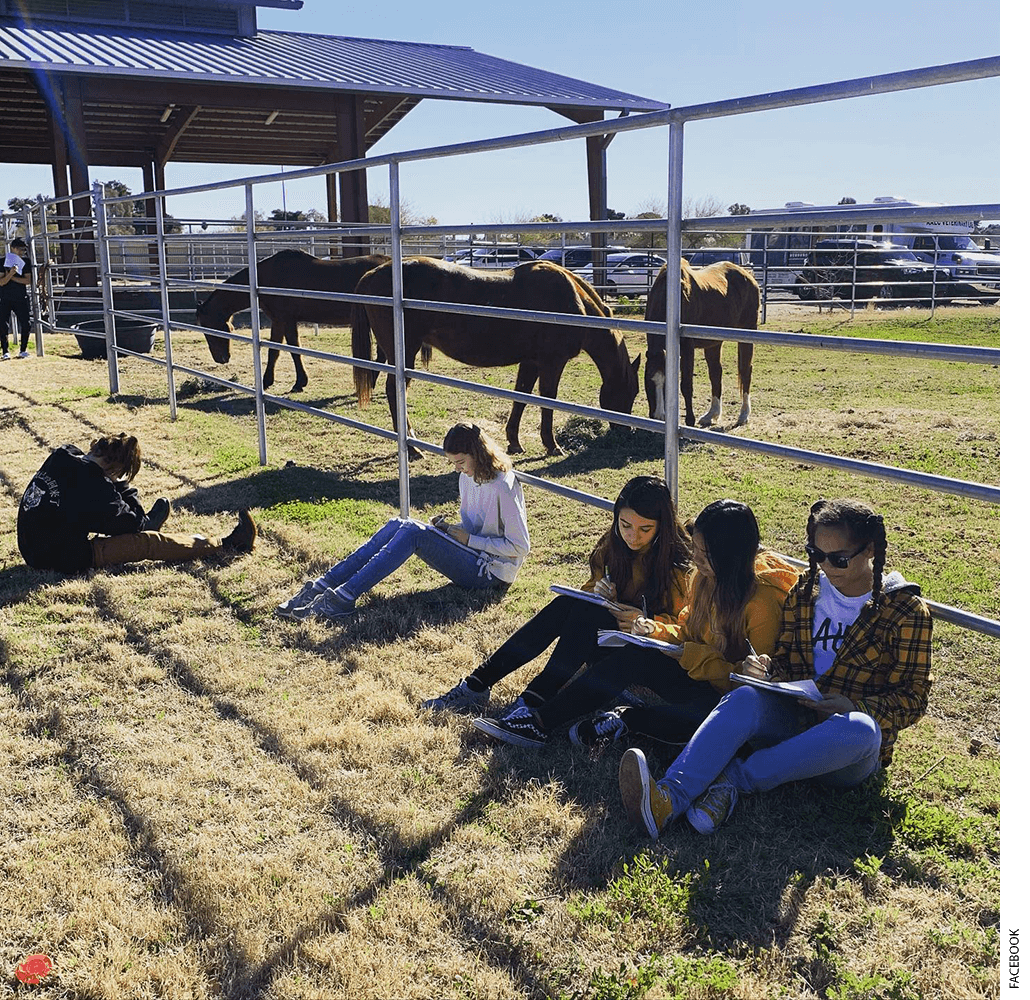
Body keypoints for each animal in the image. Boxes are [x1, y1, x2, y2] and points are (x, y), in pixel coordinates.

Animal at [194, 248, 387, 393]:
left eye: (209, 329)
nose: (221, 359)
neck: (265, 278)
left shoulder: (287, 320)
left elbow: (294, 350)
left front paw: (299, 383)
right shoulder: (278, 320)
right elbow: (274, 351)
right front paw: (266, 381)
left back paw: (370, 384)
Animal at [350, 256, 634, 455]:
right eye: (630, 394)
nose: (626, 431)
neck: (573, 301)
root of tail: (370, 275)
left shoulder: (530, 362)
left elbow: (521, 398)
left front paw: (514, 442)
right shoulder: (551, 363)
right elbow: (547, 401)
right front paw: (552, 445)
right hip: (405, 354)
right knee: (394, 391)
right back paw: (412, 447)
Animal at [646, 258, 762, 426]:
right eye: (649, 381)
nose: (659, 417)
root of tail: (748, 275)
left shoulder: (687, 348)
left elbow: (686, 385)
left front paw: (689, 420)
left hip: (747, 332)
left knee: (745, 371)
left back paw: (743, 415)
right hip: (713, 343)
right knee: (716, 373)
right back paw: (712, 414)